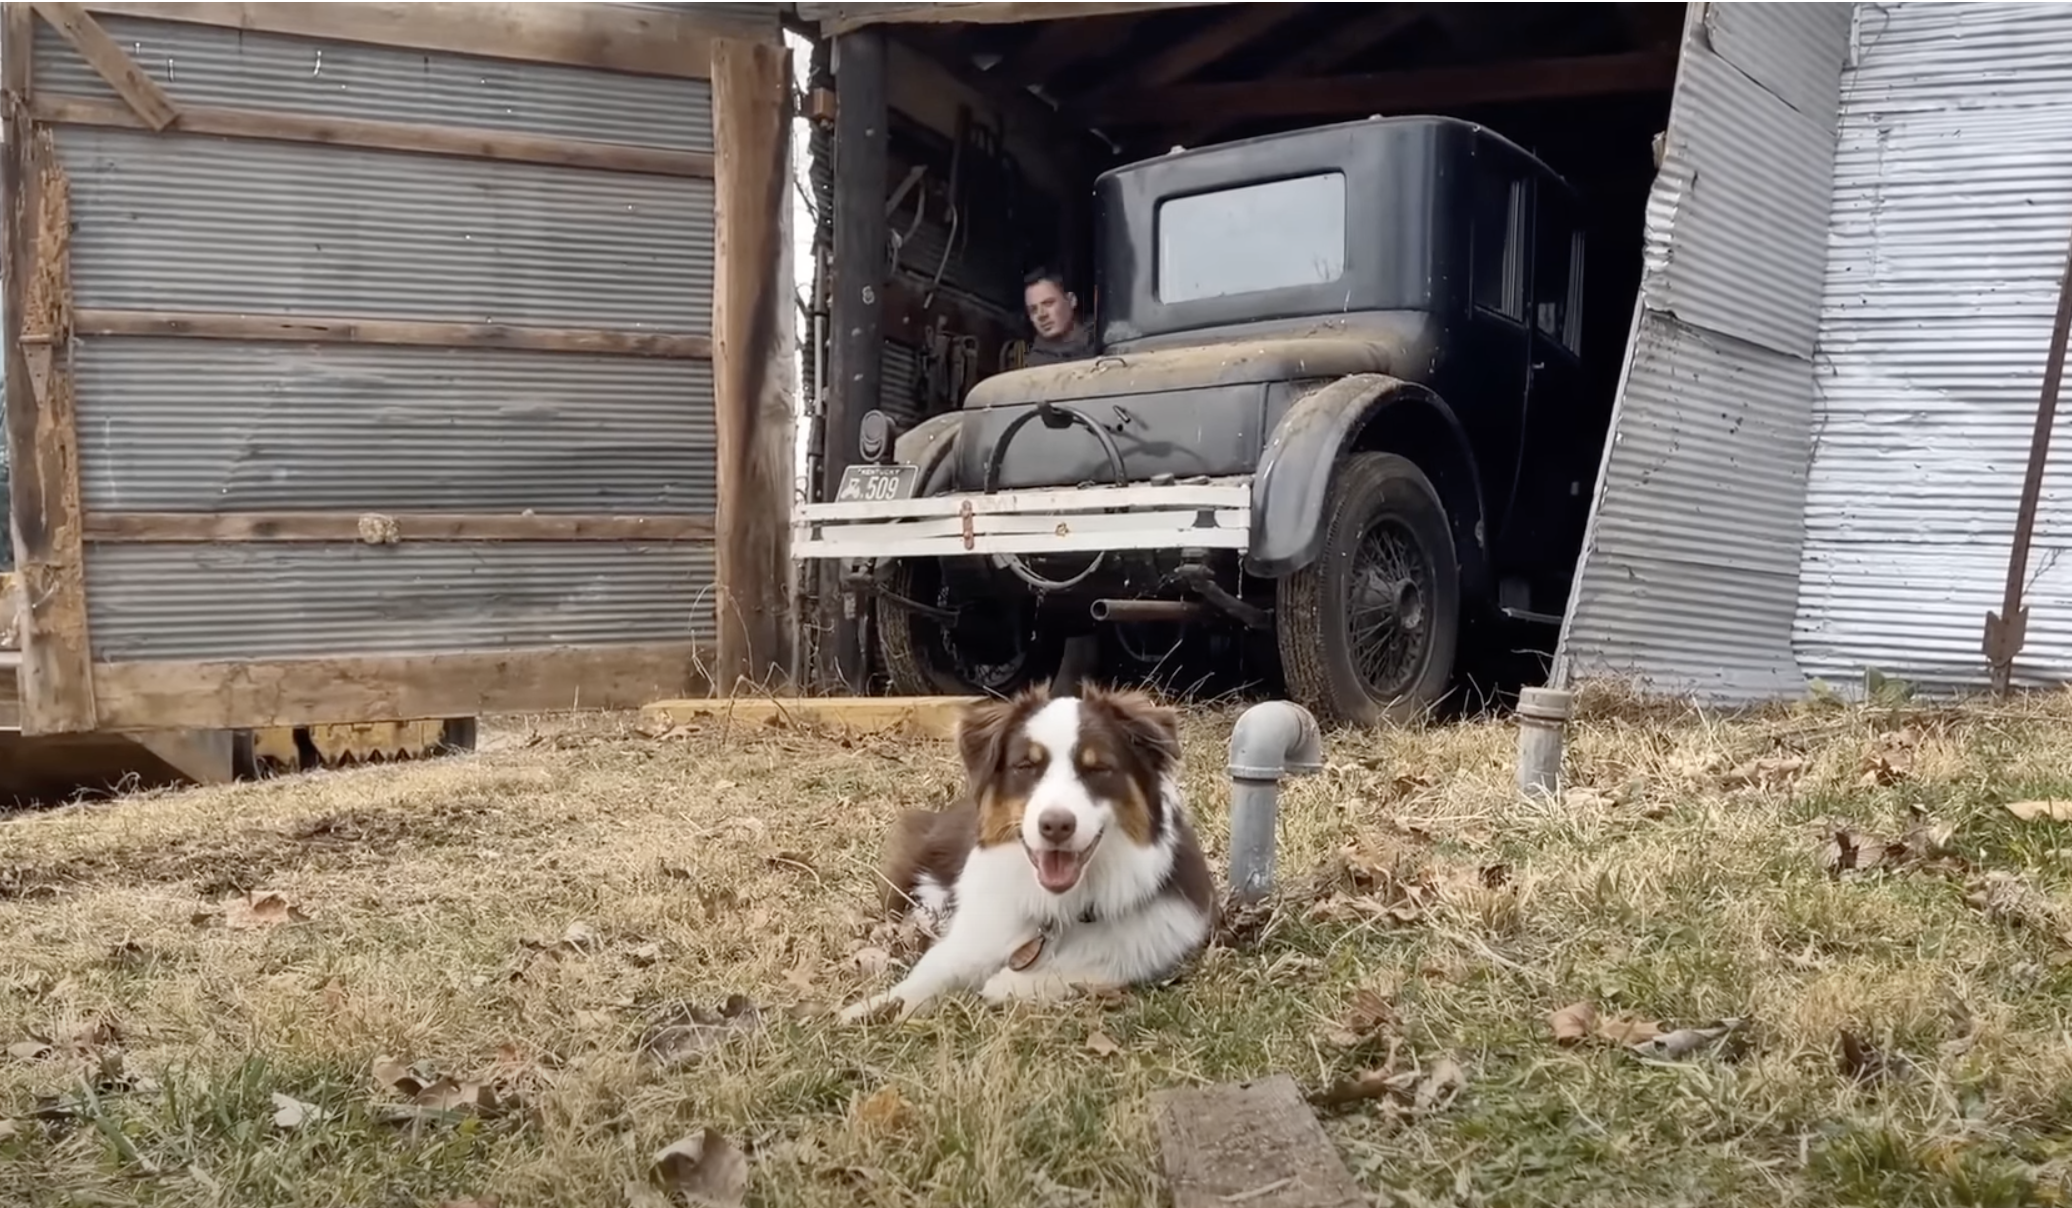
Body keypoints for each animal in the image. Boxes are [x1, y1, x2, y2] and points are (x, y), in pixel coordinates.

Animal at [837, 683, 1210, 1027]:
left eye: (1098, 768)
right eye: (1026, 766)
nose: (1056, 825)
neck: (1060, 908)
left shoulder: (1152, 940)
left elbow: (1089, 968)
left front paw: (1009, 983)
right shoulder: (976, 931)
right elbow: (933, 970)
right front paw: (872, 1007)